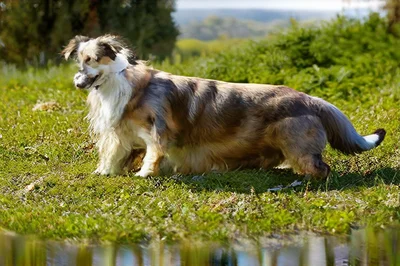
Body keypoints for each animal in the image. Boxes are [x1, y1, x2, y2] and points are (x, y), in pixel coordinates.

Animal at [62, 33, 388, 179]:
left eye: (92, 59)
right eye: (79, 60)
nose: (78, 82)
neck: (121, 86)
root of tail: (310, 99)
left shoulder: (157, 131)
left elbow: (153, 155)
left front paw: (144, 174)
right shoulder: (120, 136)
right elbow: (114, 156)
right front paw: (104, 172)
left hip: (299, 145)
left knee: (320, 168)